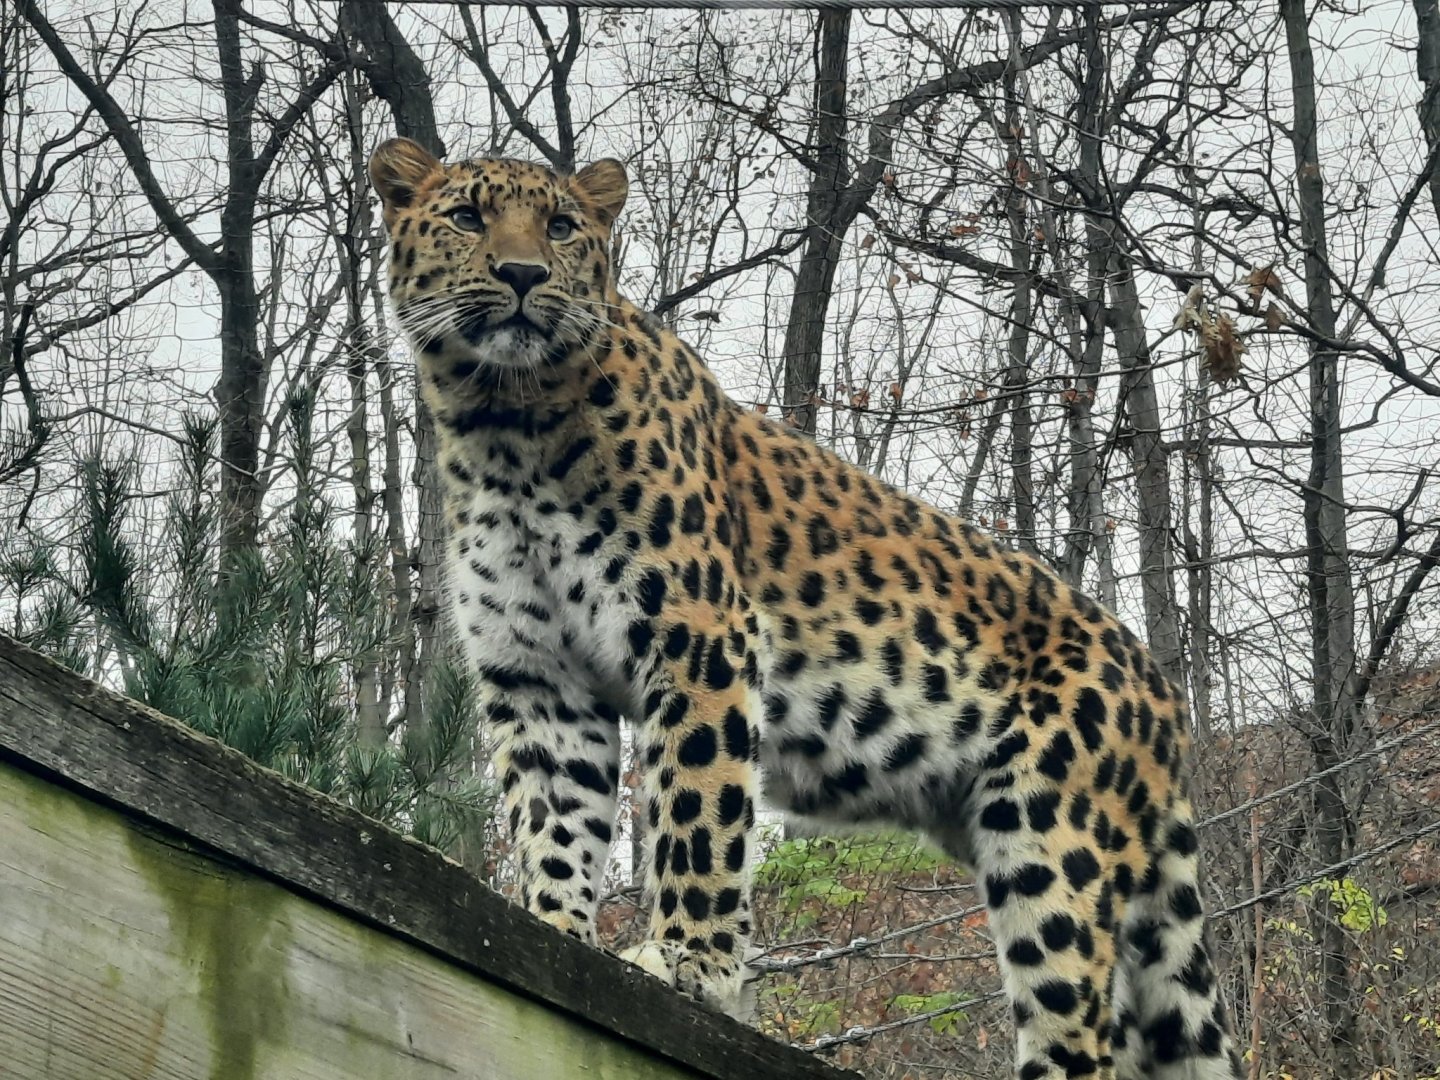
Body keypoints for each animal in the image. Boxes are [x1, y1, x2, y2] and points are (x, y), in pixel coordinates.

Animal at [369, 135, 1244, 1080]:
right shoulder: (537, 677)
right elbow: (554, 821)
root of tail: (1164, 695)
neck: (502, 419)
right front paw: (557, 930)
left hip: (1050, 841)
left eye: (562, 226)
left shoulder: (700, 634)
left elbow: (698, 811)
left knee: (1076, 1031)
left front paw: (689, 966)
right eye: (468, 217)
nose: (525, 273)